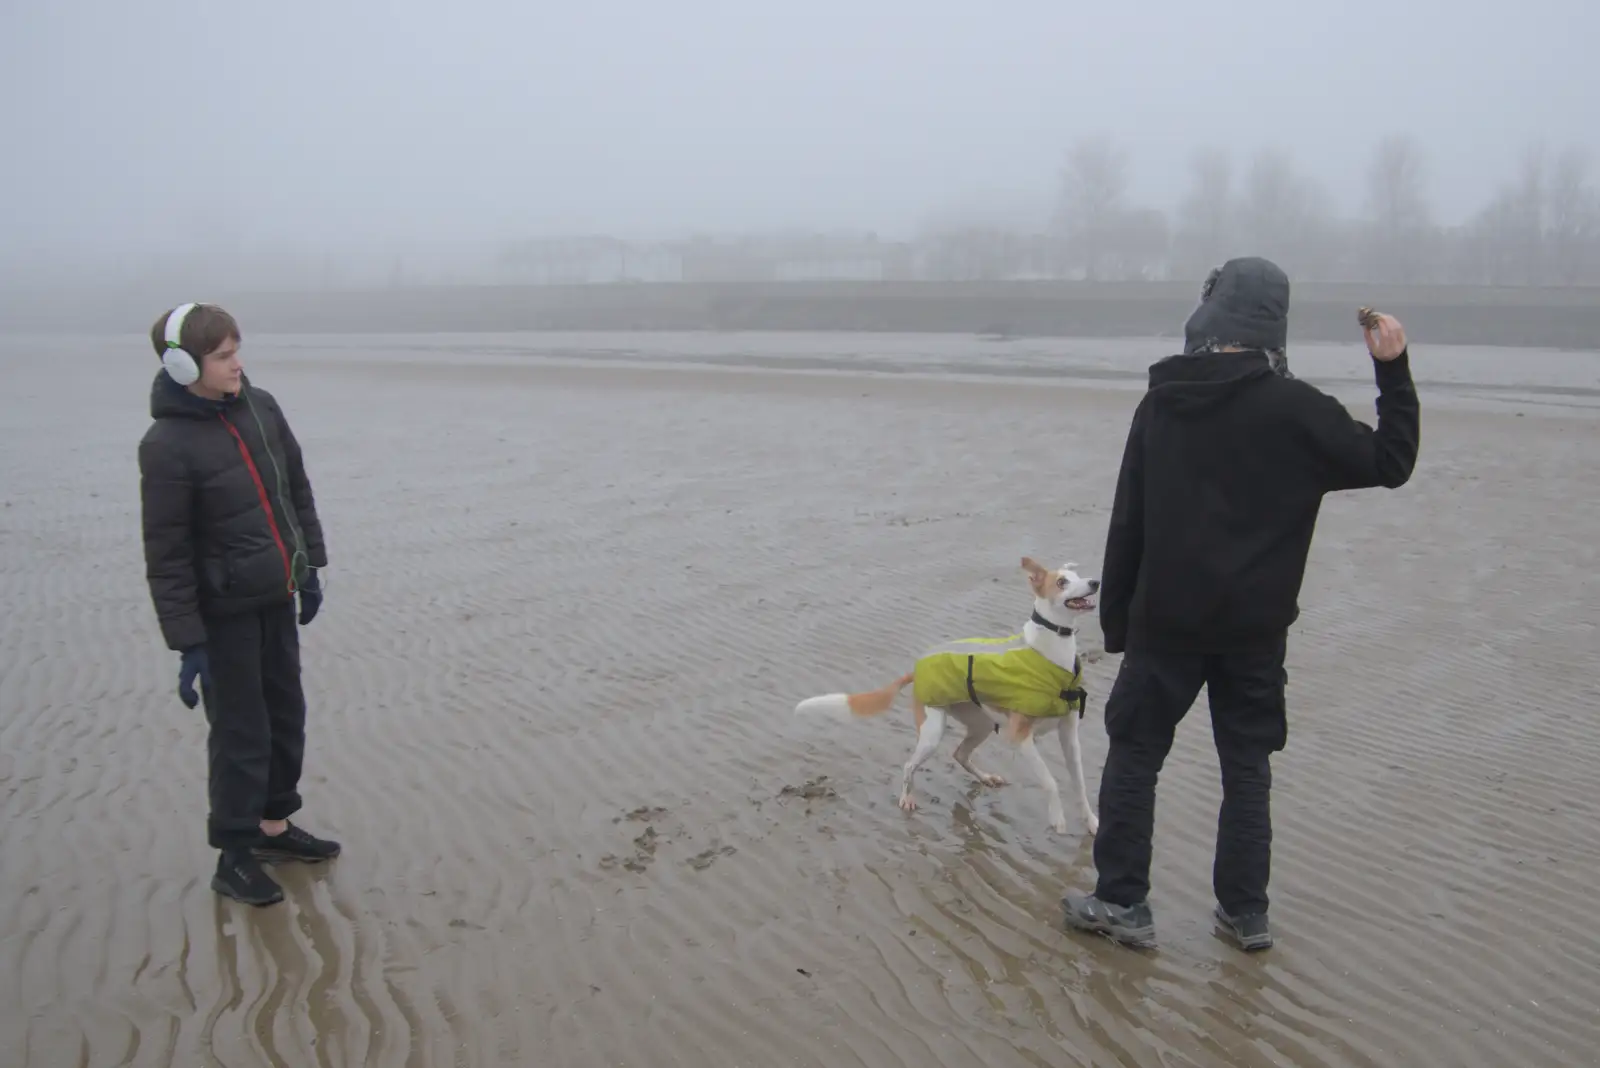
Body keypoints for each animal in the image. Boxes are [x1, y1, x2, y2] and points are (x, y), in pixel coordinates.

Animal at [796, 559, 1100, 831]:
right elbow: (1051, 781)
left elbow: (1079, 783)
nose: (1096, 582)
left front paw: (1092, 822)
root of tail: (916, 668)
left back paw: (985, 778)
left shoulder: (1069, 736)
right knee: (909, 765)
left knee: (959, 754)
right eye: (1061, 582)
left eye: (1078, 575)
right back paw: (906, 797)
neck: (1050, 655)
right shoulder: (1020, 738)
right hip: (932, 733)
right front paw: (1057, 818)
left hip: (981, 723)